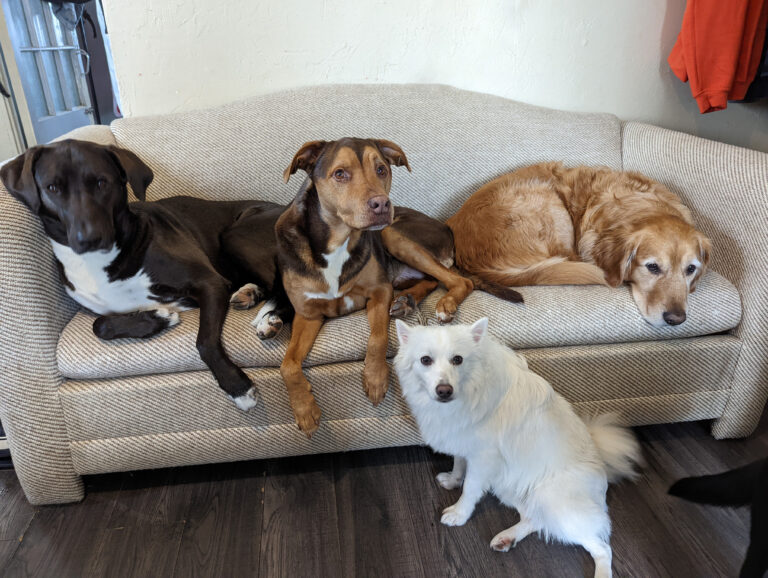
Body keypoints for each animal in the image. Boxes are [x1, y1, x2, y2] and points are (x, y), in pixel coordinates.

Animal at [258, 140, 520, 434]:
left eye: (381, 169)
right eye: (340, 174)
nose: (382, 204)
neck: (338, 241)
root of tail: (447, 229)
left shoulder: (379, 292)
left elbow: (377, 338)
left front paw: (375, 379)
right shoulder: (308, 314)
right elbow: (288, 365)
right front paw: (304, 410)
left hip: (391, 233)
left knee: (460, 280)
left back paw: (444, 304)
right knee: (432, 280)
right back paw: (406, 301)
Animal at [392, 318, 640, 572]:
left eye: (457, 359)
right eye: (425, 360)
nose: (444, 391)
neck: (472, 386)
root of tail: (602, 472)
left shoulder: (483, 458)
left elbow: (470, 488)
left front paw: (459, 514)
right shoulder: (463, 441)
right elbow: (458, 465)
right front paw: (452, 481)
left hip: (553, 503)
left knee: (602, 548)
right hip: (511, 488)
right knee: (535, 519)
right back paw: (506, 538)